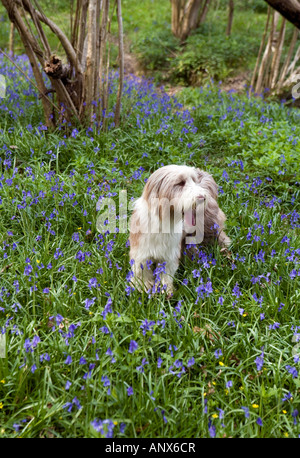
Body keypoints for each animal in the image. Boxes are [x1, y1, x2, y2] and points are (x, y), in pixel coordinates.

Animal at [128, 164, 230, 294]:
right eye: (180, 183)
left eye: (193, 180)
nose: (202, 197)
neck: (164, 221)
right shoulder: (141, 253)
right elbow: (142, 272)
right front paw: (143, 287)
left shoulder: (170, 255)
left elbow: (166, 274)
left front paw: (165, 290)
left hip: (210, 227)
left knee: (220, 237)